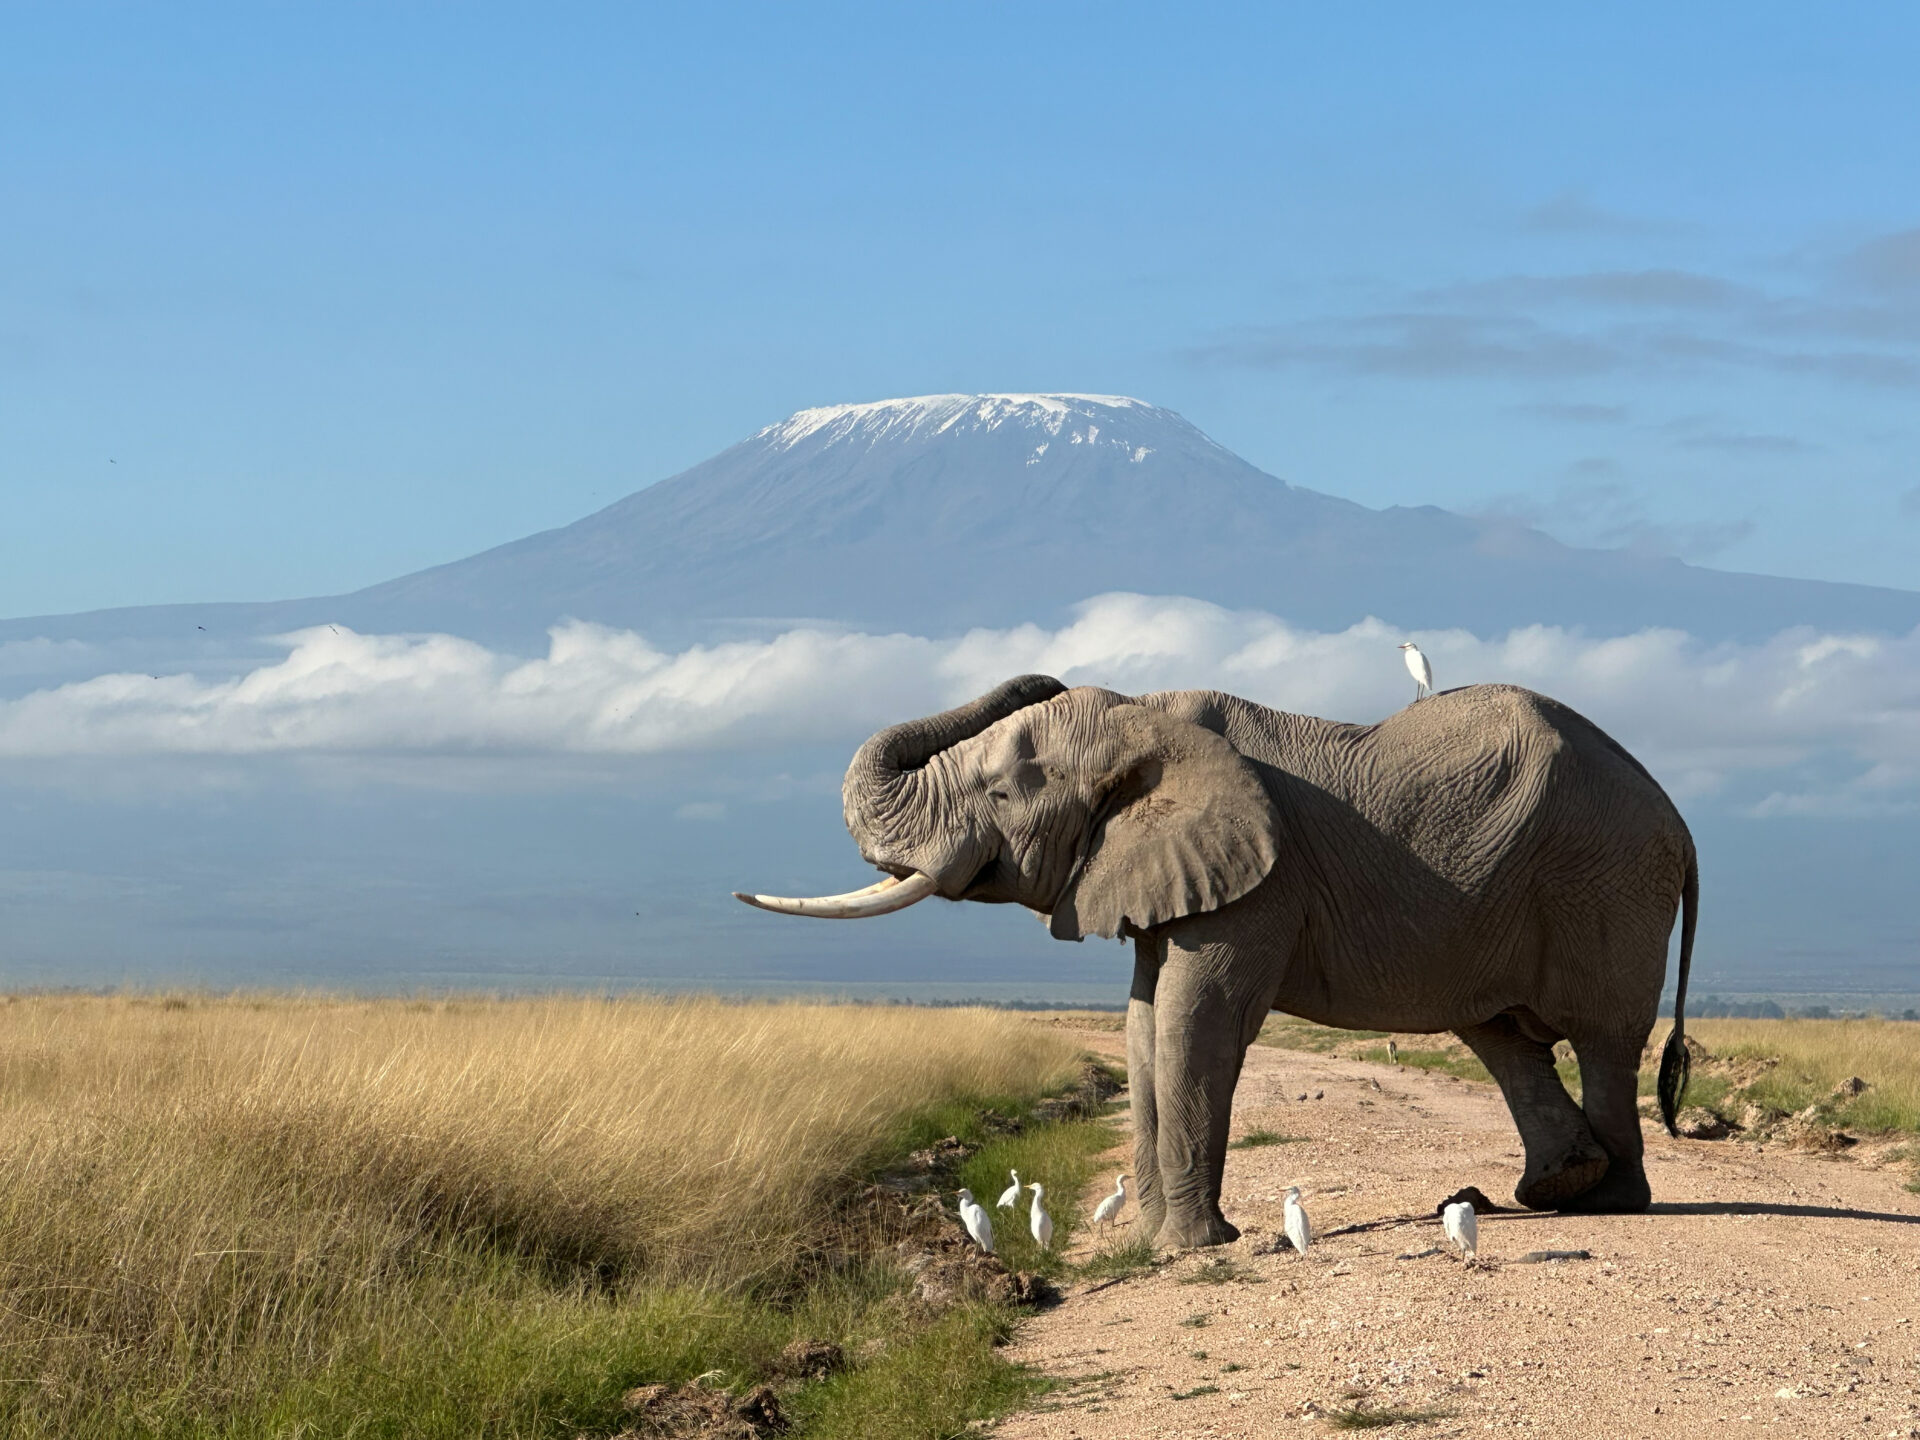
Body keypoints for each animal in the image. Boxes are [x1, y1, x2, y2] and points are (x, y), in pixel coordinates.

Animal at [736, 675, 1697, 1250]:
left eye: (1001, 793)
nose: (1042, 676)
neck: (1145, 715)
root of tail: (1681, 822)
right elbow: (1141, 1025)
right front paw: (1151, 1244)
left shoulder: (1259, 882)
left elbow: (1198, 1020)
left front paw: (1193, 1249)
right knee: (1501, 1036)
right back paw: (1557, 1189)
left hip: (1606, 885)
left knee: (1601, 1041)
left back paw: (1608, 1203)